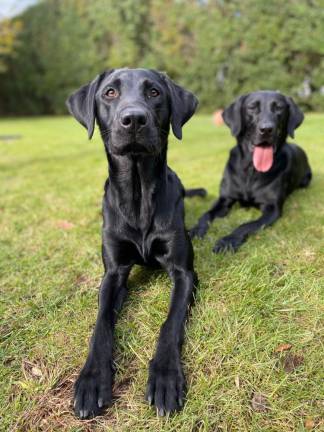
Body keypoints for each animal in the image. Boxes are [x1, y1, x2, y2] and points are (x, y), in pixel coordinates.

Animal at [65, 68, 204, 418]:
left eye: (154, 92)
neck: (139, 193)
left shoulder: (184, 273)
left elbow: (171, 322)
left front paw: (166, 376)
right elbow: (101, 324)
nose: (134, 119)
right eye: (110, 93)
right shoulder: (113, 272)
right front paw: (91, 378)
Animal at [190, 91, 312, 253]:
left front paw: (227, 241)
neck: (251, 170)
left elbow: (245, 225)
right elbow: (205, 214)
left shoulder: (271, 208)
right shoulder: (224, 199)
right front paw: (194, 230)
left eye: (279, 108)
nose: (266, 129)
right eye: (252, 107)